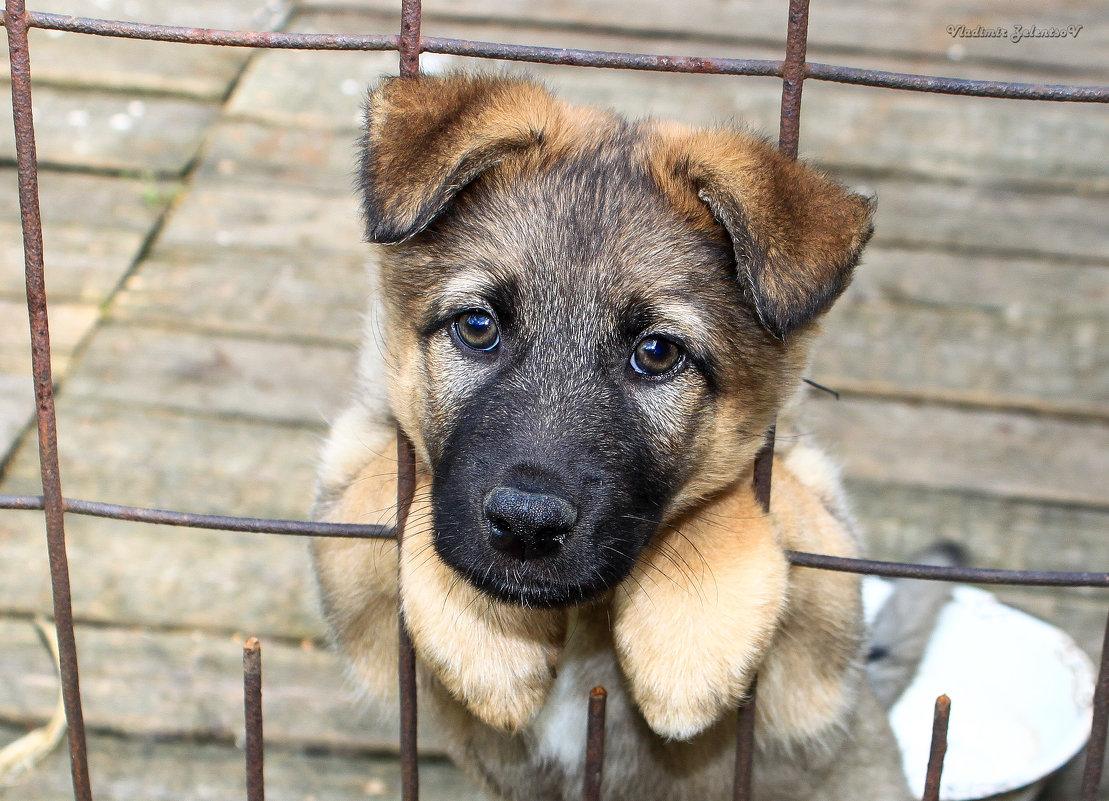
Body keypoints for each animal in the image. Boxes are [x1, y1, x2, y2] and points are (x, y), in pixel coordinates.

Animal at [310, 74, 909, 798]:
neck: (582, 619)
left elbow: (745, 496)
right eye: (477, 327)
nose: (526, 525)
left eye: (657, 353)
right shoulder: (348, 555)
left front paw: (692, 637)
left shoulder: (823, 648)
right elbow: (389, 480)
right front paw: (489, 642)